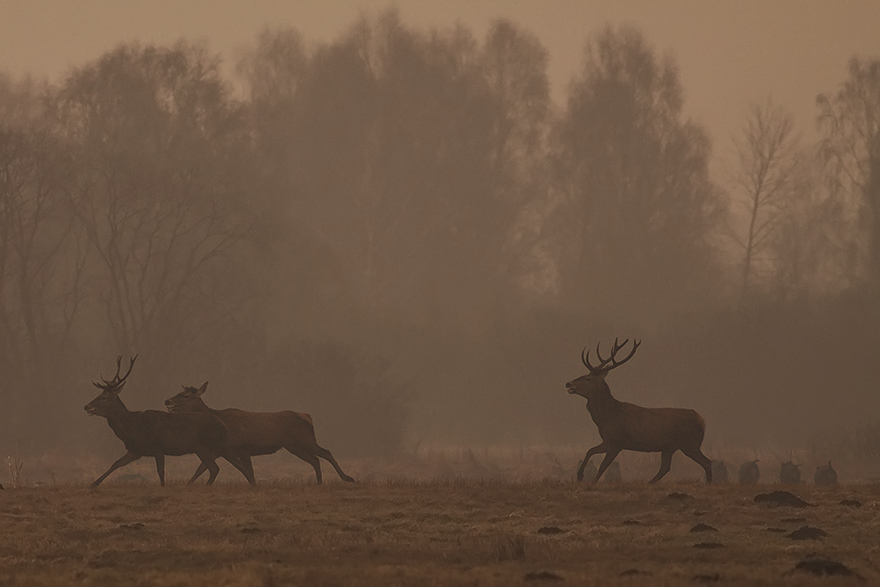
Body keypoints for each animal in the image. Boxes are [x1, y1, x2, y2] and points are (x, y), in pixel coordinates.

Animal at [84, 358, 256, 486]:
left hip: (219, 444)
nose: (87, 406)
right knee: (215, 468)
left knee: (234, 466)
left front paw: (163, 487)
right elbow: (115, 464)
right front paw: (93, 484)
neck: (132, 427)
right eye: (98, 395)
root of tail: (222, 423)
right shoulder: (136, 450)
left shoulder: (158, 446)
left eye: (104, 398)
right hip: (203, 448)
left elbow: (161, 472)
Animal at [165, 384, 354, 484]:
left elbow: (248, 471)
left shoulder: (242, 447)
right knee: (315, 459)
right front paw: (188, 485)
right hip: (293, 446)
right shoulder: (218, 450)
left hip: (305, 440)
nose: (167, 401)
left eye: (186, 395)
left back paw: (347, 478)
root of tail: (308, 417)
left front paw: (254, 485)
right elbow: (200, 469)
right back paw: (320, 482)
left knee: (326, 453)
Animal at [564, 338, 716, 484]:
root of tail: (702, 421)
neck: (607, 418)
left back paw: (709, 483)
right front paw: (579, 476)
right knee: (665, 467)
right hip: (669, 447)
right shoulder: (607, 441)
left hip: (690, 443)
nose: (568, 383)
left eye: (588, 379)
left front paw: (592, 483)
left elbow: (603, 465)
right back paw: (650, 483)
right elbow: (589, 451)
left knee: (706, 462)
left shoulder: (617, 441)